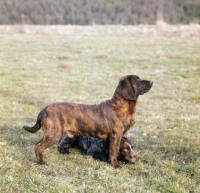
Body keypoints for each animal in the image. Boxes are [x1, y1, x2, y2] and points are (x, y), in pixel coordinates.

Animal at [23, 74, 152, 167]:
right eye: (137, 79)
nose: (151, 82)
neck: (119, 107)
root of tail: (43, 110)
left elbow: (110, 151)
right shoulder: (116, 136)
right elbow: (114, 152)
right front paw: (115, 165)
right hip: (54, 135)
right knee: (38, 147)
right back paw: (41, 163)